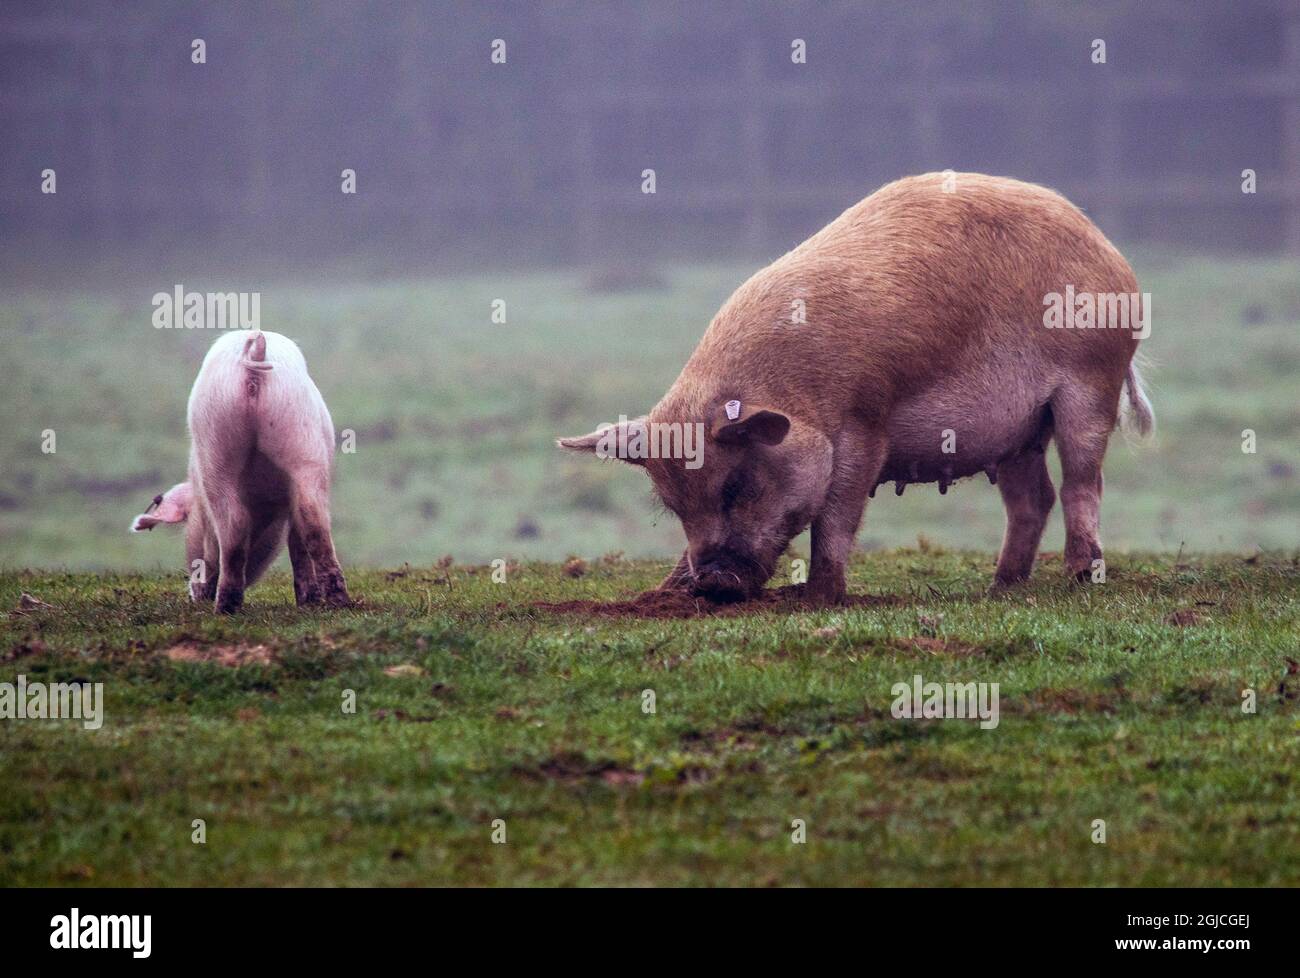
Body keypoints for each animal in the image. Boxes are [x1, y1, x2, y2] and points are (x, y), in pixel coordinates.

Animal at [564, 174, 1154, 603]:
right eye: (672, 504)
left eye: (737, 485)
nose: (712, 582)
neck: (798, 394)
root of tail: (1112, 254)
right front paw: (660, 595)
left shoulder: (865, 423)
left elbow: (837, 515)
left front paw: (815, 598)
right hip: (1018, 431)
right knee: (1034, 497)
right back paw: (1000, 586)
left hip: (1091, 379)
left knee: (1083, 481)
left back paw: (1079, 576)